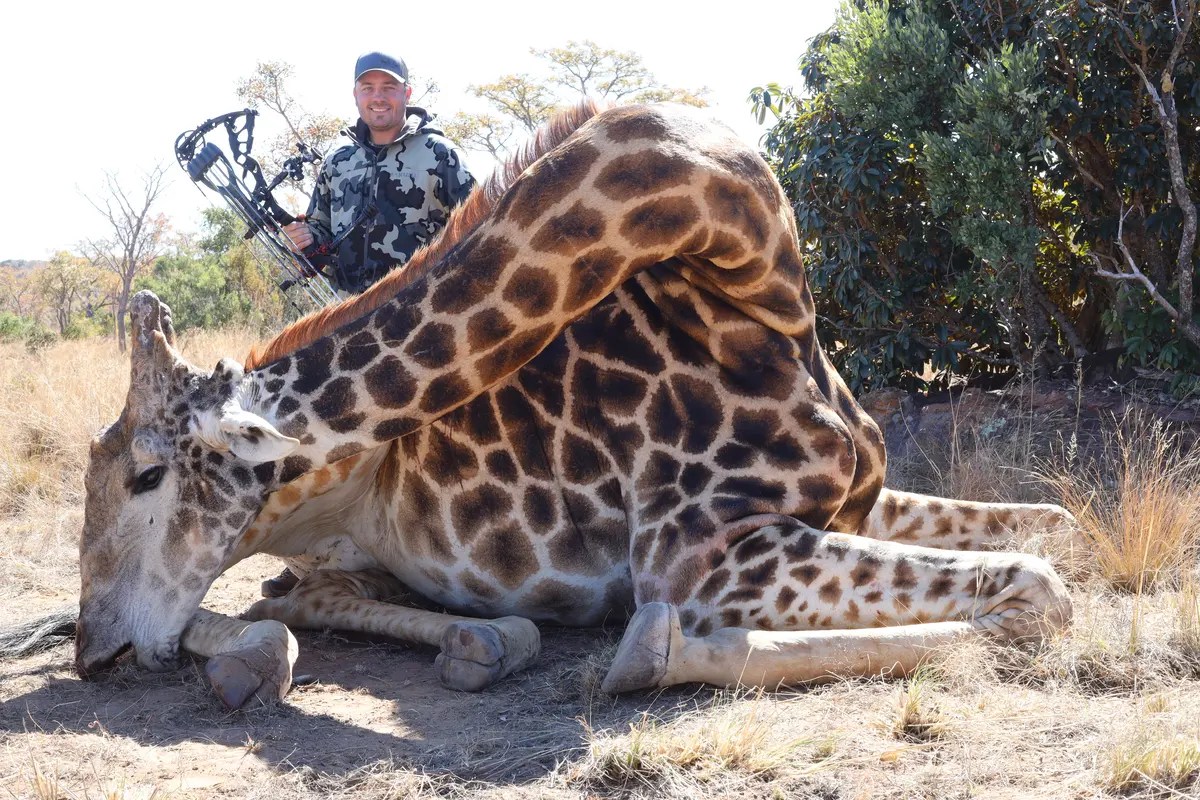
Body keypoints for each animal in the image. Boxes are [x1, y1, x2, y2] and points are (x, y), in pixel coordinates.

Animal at [74, 102, 1074, 709]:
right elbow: (1040, 589)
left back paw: (472, 639)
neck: (757, 285)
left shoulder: (858, 500)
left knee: (303, 593)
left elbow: (1055, 534)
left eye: (146, 476)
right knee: (262, 605)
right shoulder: (697, 557)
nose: (97, 652)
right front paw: (653, 653)